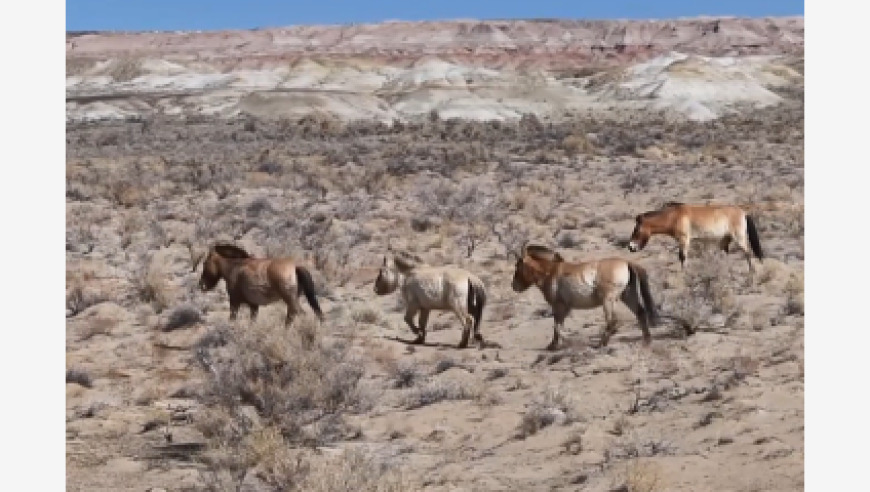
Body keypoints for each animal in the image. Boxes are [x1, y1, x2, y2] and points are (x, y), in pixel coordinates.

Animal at [193, 243, 324, 326]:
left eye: (205, 263)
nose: (202, 285)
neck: (236, 267)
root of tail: (295, 267)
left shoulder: (234, 302)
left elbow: (232, 319)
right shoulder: (254, 306)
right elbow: (252, 323)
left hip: (290, 299)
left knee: (300, 314)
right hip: (292, 301)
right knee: (291, 317)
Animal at [510, 243, 660, 350]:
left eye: (518, 265)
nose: (514, 286)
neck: (551, 272)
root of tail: (627, 263)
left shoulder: (559, 306)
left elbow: (557, 327)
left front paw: (557, 344)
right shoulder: (564, 308)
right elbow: (558, 327)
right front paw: (553, 345)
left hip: (609, 300)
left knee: (613, 321)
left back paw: (600, 344)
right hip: (627, 295)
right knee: (640, 313)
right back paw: (646, 341)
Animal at [632, 203, 768, 272]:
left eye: (637, 230)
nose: (631, 247)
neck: (674, 216)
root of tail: (743, 213)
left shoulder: (684, 240)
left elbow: (682, 257)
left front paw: (684, 273)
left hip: (739, 238)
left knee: (747, 252)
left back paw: (751, 271)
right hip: (725, 240)